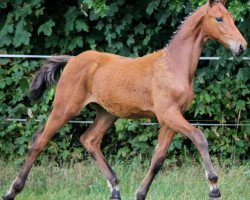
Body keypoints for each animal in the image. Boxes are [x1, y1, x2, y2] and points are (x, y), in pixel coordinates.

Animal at [2, 0, 247, 200]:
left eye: (233, 19)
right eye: (218, 18)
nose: (241, 47)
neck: (173, 66)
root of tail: (72, 60)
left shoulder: (170, 119)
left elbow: (158, 158)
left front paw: (140, 194)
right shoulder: (169, 114)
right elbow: (199, 137)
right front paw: (214, 186)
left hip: (106, 113)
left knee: (89, 139)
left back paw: (115, 189)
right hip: (65, 109)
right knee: (39, 142)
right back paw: (11, 191)